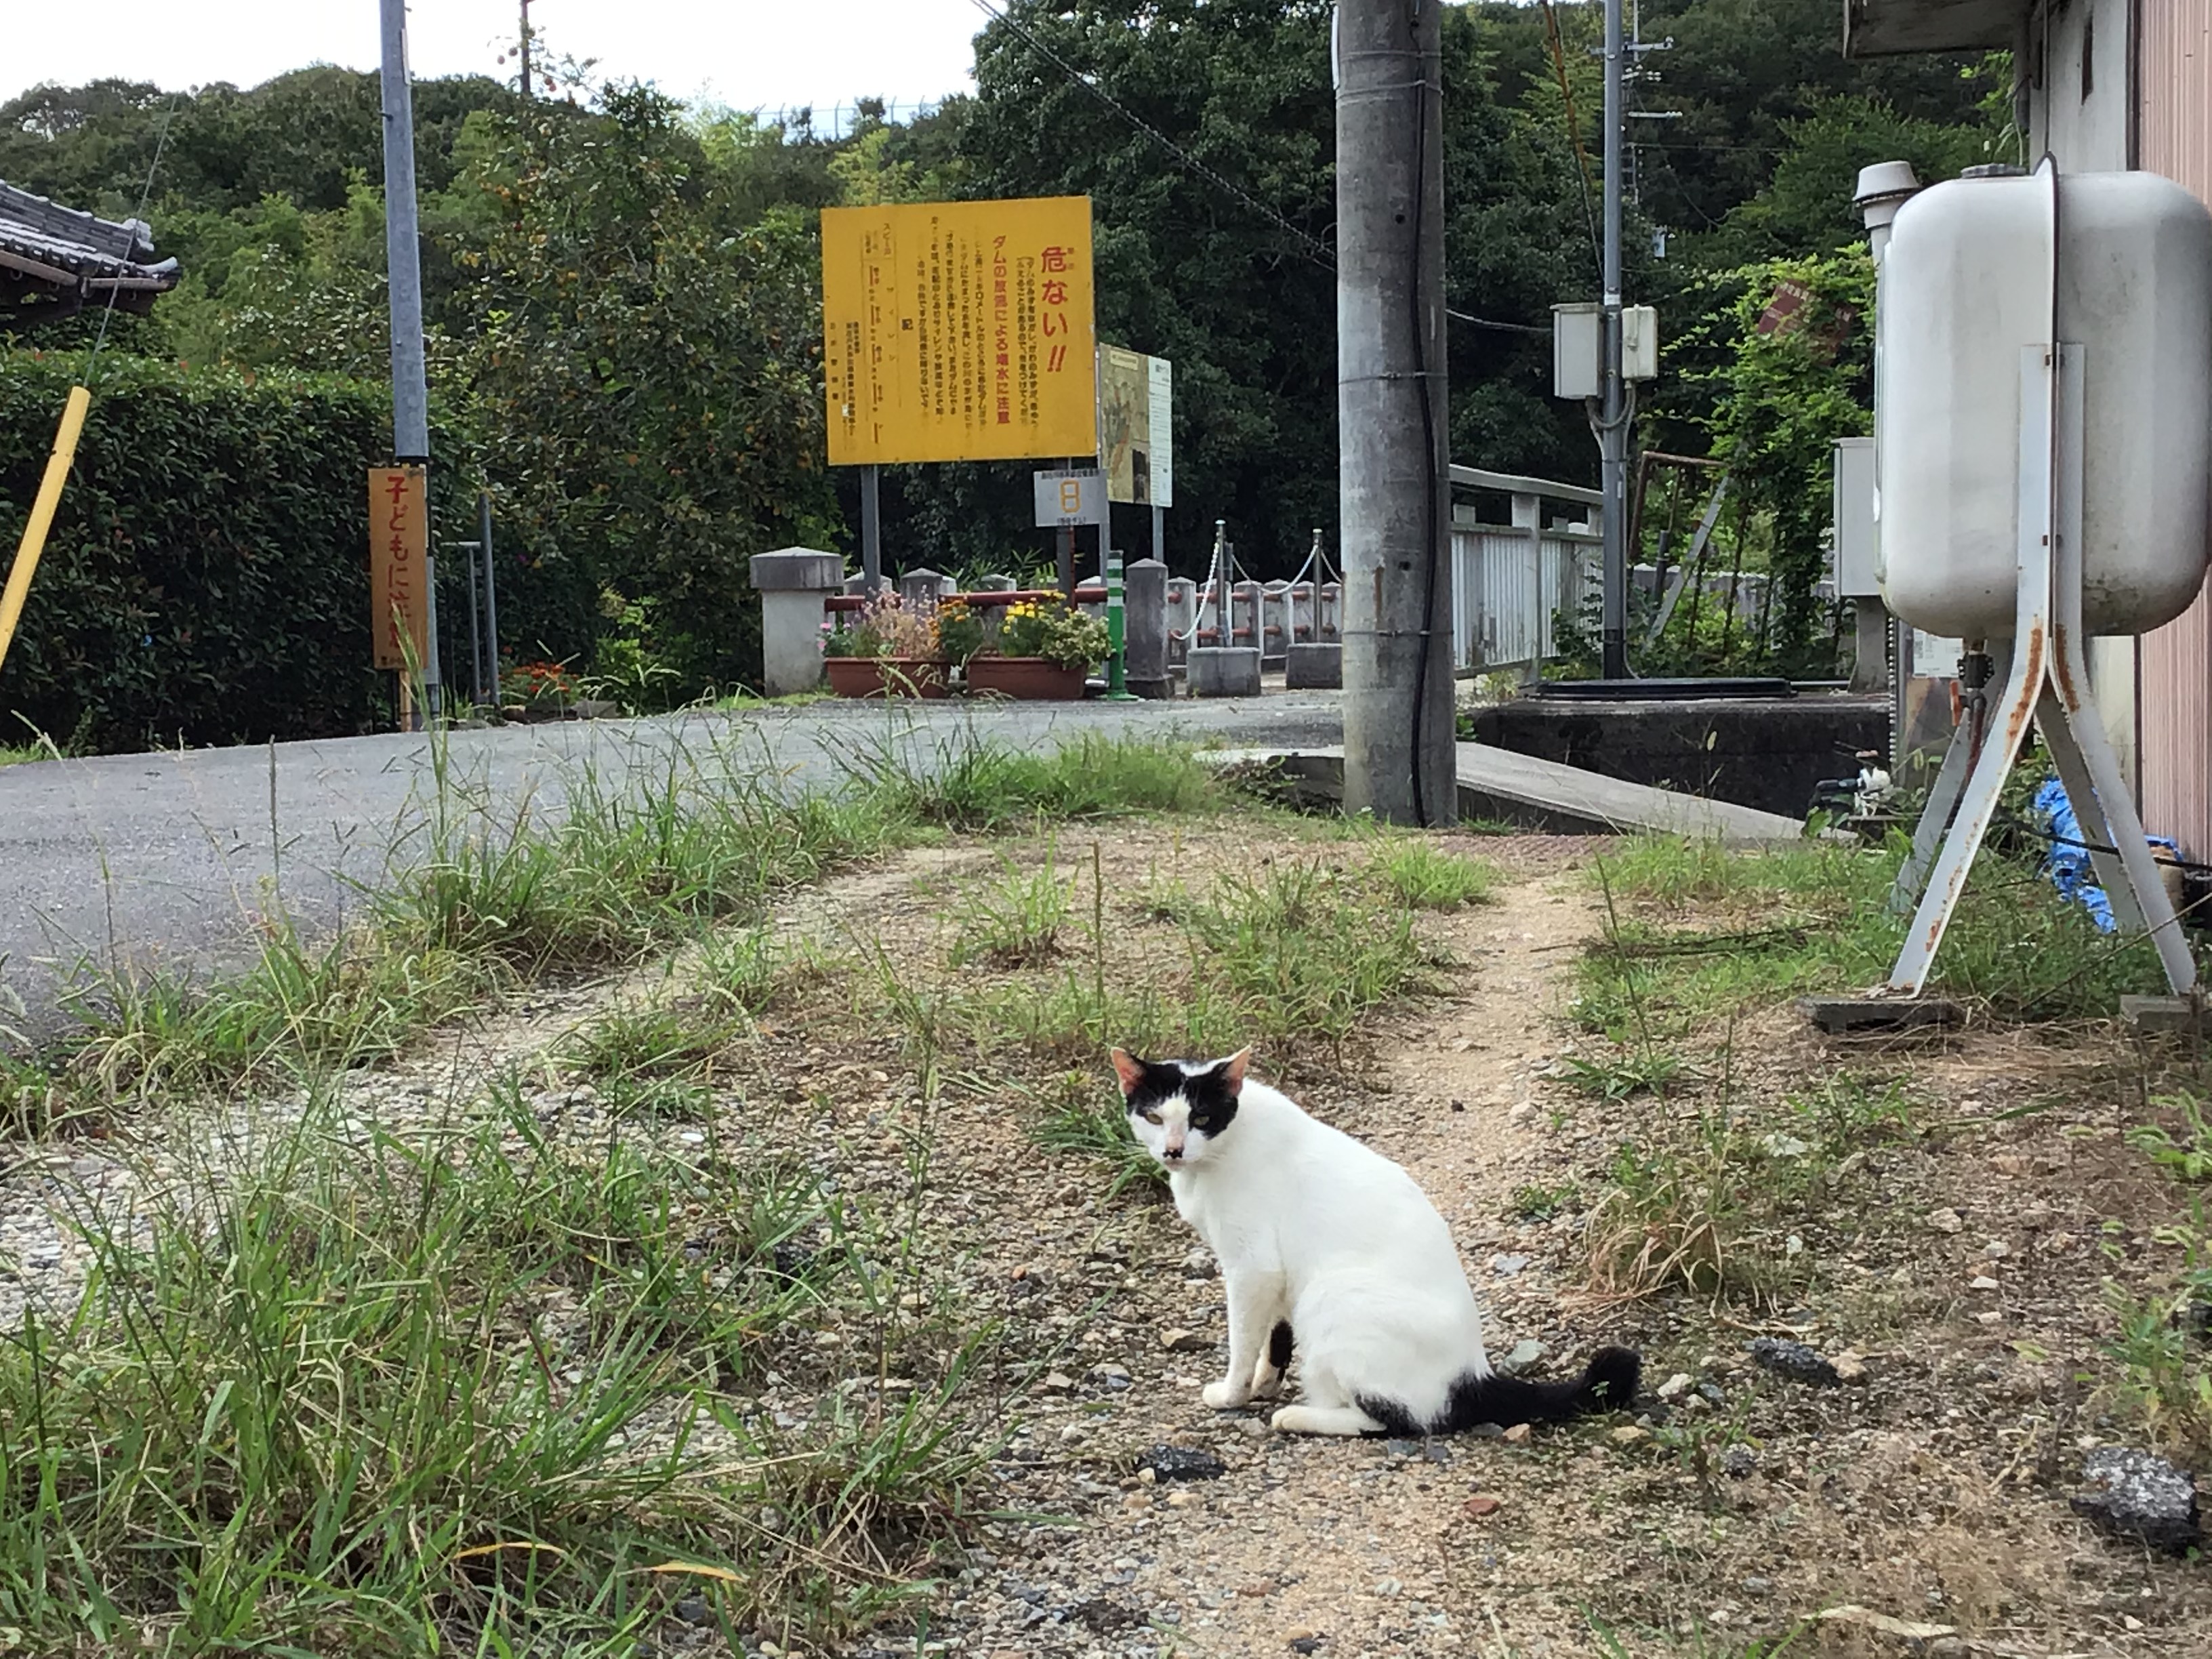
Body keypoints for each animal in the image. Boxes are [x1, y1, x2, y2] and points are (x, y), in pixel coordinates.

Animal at [1106, 1052, 1645, 1442]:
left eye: (1201, 1116)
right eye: (1153, 1116)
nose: (1173, 1150)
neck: (1218, 1155)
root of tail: (1473, 1376)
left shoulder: (1252, 1267)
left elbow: (1244, 1339)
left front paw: (1234, 1393)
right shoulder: (1280, 1278)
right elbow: (1275, 1337)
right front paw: (1264, 1382)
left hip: (1331, 1297)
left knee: (1396, 1421)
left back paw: (1299, 1416)